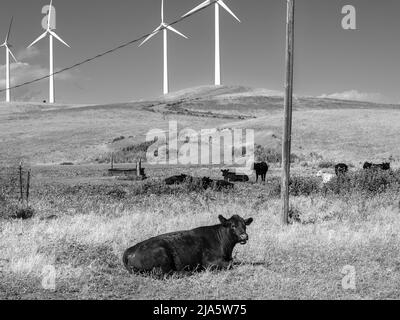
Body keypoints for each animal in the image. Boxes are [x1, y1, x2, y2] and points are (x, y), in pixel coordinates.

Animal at [122, 215, 253, 276]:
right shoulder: (210, 262)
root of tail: (129, 250)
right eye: (233, 226)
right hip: (161, 255)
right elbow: (230, 264)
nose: (244, 236)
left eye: (244, 225)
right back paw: (188, 272)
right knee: (164, 273)